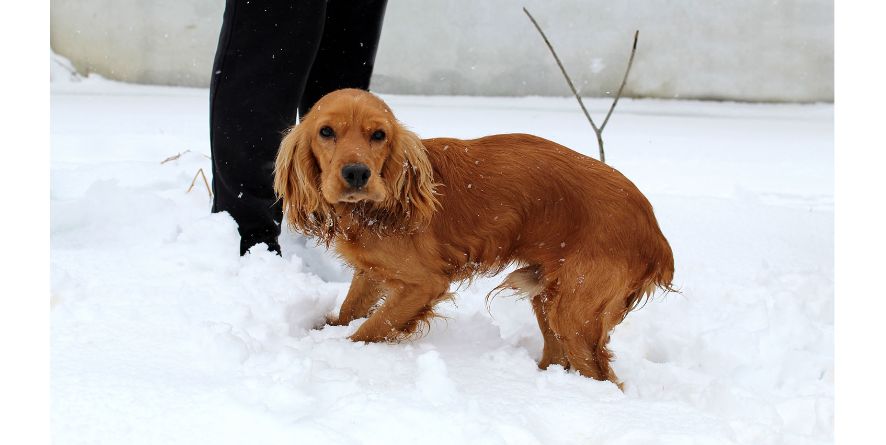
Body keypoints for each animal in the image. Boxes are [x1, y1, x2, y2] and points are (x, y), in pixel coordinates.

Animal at [274, 87, 676, 386]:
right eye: (326, 132)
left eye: (379, 135)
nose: (357, 173)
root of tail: (654, 231)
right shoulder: (371, 273)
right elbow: (350, 311)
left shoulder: (424, 283)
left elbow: (369, 329)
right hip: (549, 299)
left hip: (575, 314)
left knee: (605, 379)